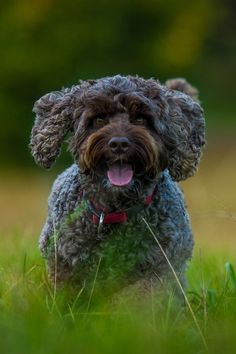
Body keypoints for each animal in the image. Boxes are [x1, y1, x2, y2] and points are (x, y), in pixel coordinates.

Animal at [30, 74, 206, 290]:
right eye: (98, 119)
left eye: (141, 119)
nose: (119, 143)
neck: (114, 211)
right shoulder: (63, 264)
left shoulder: (158, 268)